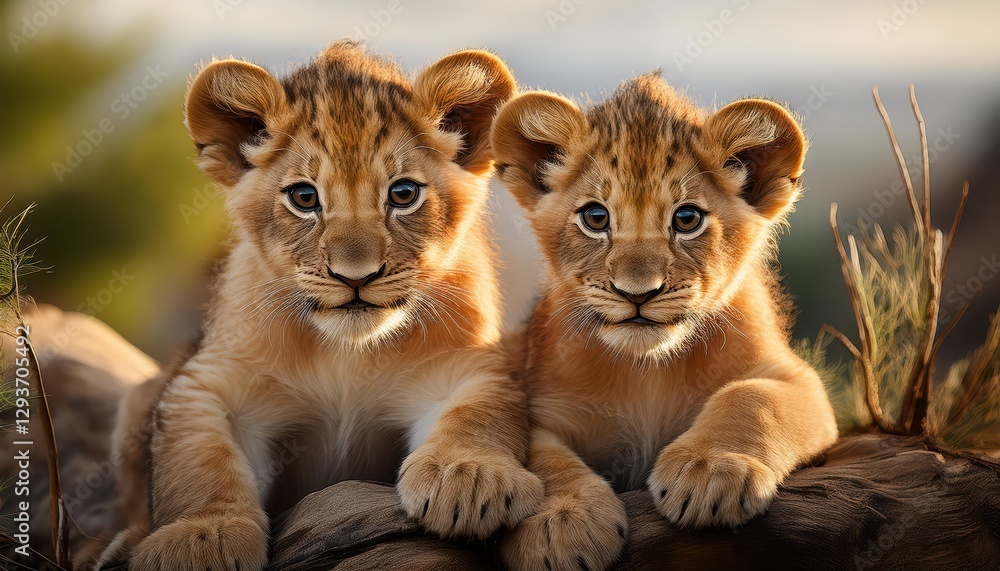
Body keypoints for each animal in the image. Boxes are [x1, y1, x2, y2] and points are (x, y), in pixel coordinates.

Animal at [490, 74, 838, 570]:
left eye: (687, 218)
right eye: (595, 217)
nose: (637, 293)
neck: (647, 371)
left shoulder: (796, 378)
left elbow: (752, 397)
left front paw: (710, 471)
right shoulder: (543, 402)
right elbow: (542, 458)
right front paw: (558, 526)